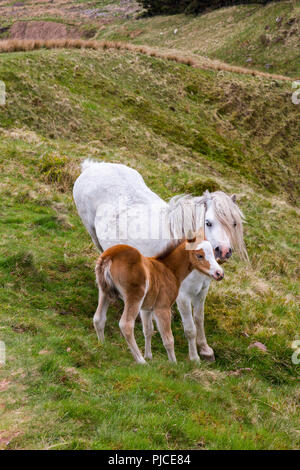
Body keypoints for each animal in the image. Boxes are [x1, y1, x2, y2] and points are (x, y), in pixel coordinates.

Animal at [93, 233, 223, 366]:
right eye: (200, 255)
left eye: (213, 253)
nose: (219, 273)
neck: (169, 269)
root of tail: (109, 256)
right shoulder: (162, 308)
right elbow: (168, 339)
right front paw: (174, 364)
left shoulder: (146, 309)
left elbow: (148, 330)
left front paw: (149, 356)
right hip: (134, 297)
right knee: (126, 325)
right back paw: (141, 361)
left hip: (104, 293)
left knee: (98, 319)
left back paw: (103, 346)